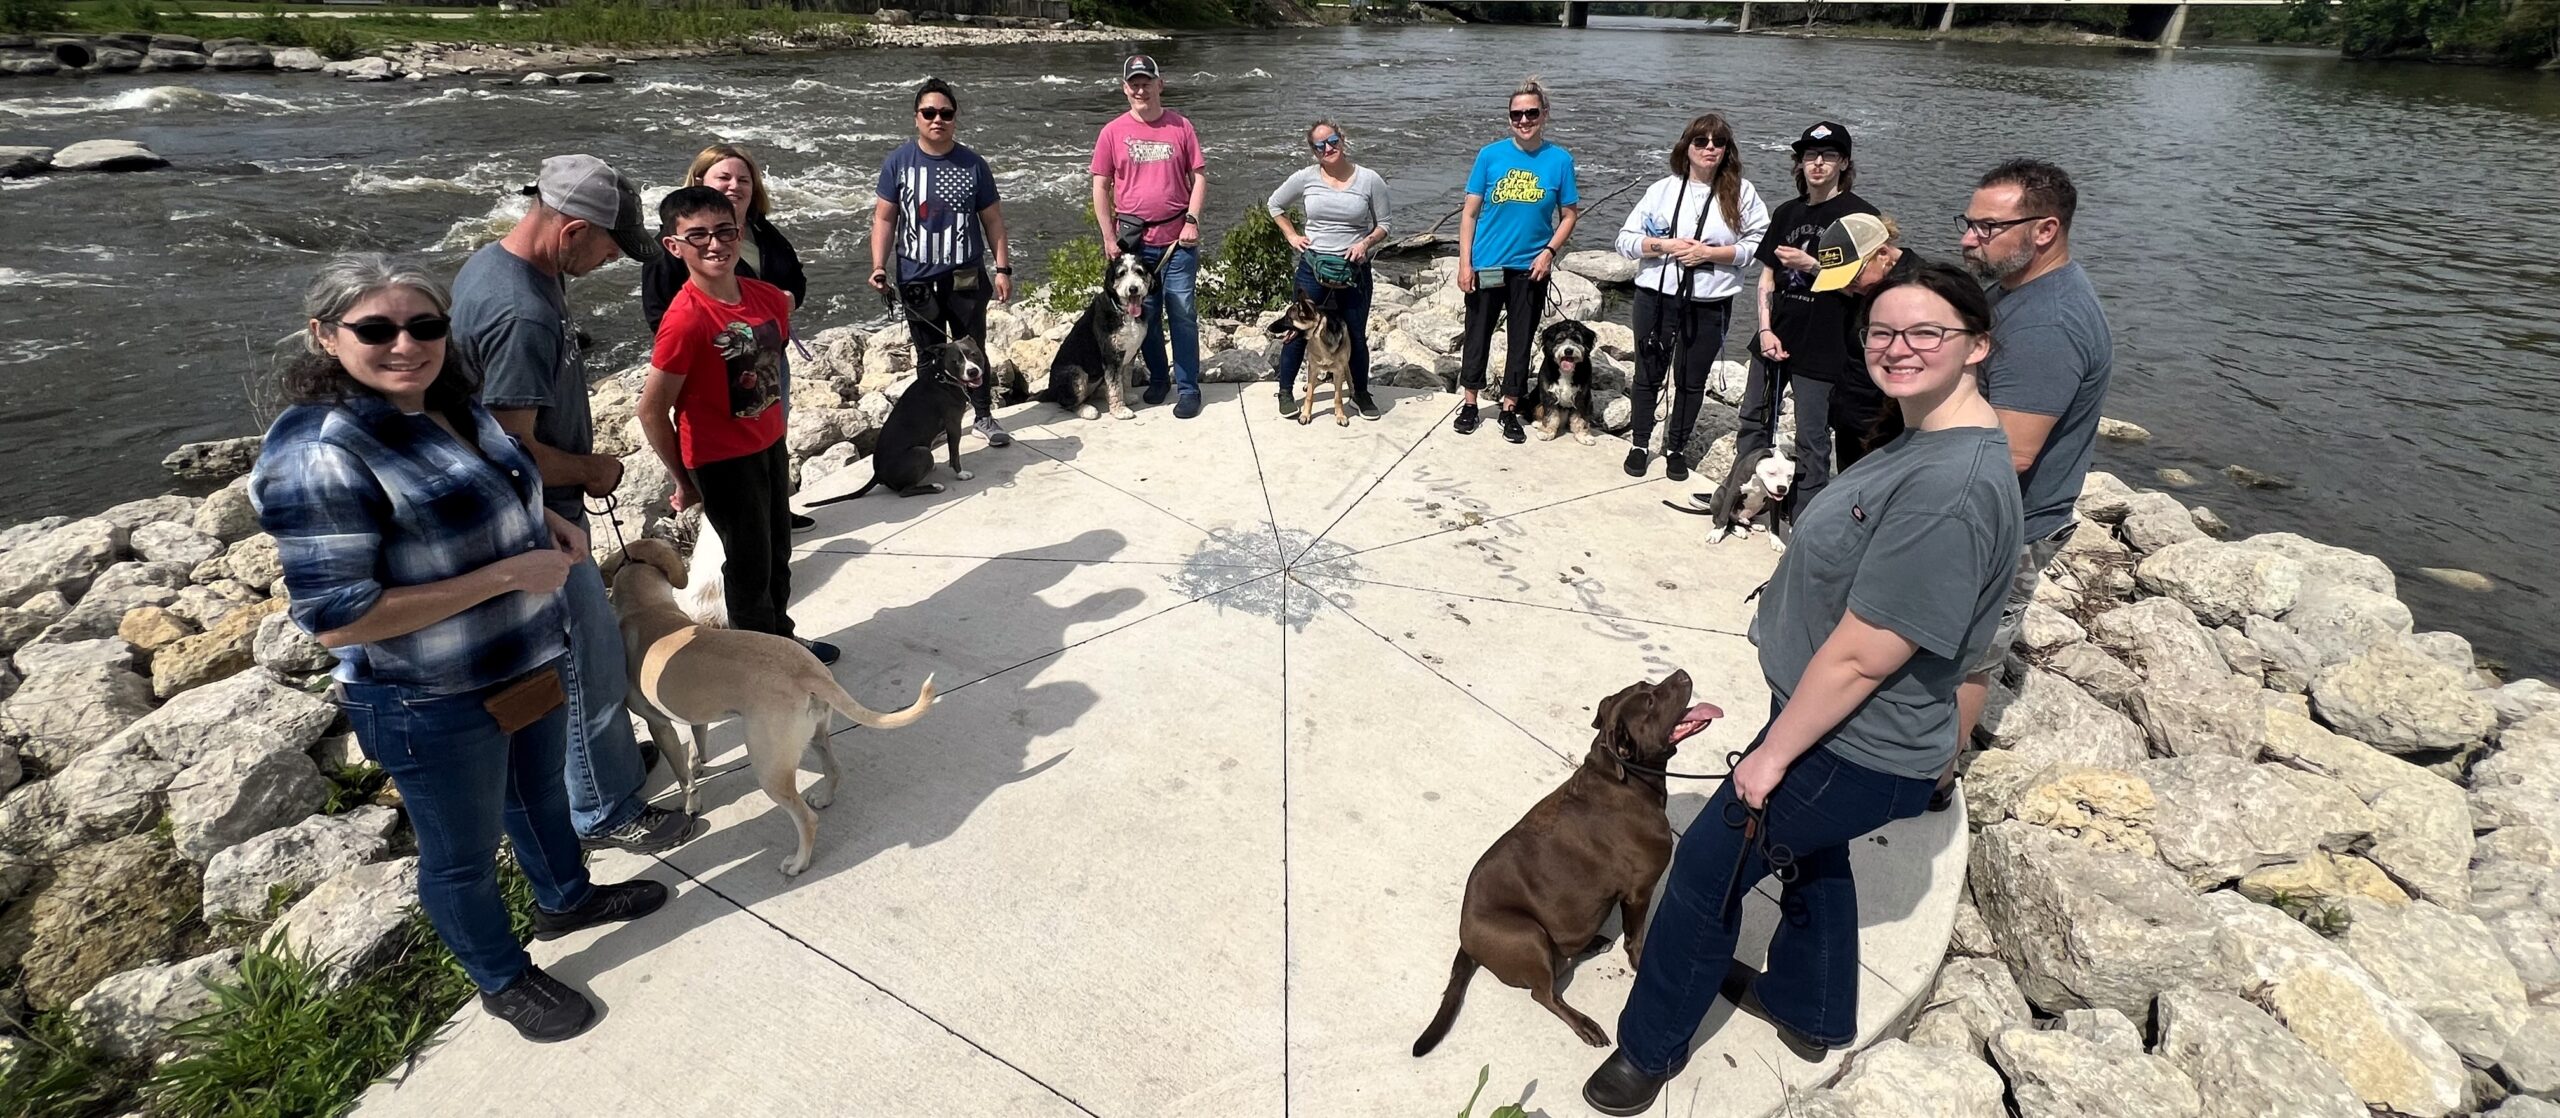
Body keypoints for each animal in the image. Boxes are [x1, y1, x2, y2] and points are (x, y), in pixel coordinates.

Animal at [611, 534, 942, 874]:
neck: (645, 607)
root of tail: (808, 671)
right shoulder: (695, 713)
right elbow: (697, 743)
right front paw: (698, 764)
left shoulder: (658, 725)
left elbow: (682, 776)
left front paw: (691, 804)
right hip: (816, 735)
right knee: (834, 769)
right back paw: (825, 798)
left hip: (768, 767)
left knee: (806, 819)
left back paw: (798, 863)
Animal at [808, 335, 988, 501]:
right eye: (955, 361)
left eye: (973, 354)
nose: (972, 371)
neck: (943, 378)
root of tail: (878, 474)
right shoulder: (953, 424)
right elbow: (954, 454)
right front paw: (961, 474)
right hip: (922, 453)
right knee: (904, 492)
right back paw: (934, 486)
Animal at [1039, 250, 1162, 419]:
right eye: (1121, 273)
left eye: (1139, 271)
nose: (1133, 289)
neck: (1123, 312)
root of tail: (1050, 391)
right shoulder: (1112, 355)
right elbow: (1115, 384)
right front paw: (1119, 410)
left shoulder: (1130, 354)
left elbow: (1124, 379)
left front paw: (1126, 397)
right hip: (1074, 373)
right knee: (1067, 403)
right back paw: (1086, 409)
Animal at [1413, 670, 1730, 1054]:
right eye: (1651, 701)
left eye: (1647, 685)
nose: (1682, 673)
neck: (1625, 777)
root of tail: (1465, 940)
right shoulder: (1639, 892)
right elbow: (1636, 939)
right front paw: (1639, 964)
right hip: (1526, 935)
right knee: (1544, 994)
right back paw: (1583, 1023)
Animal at [1658, 442, 1802, 550]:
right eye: (1771, 473)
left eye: (1790, 476)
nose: (1782, 488)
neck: (1758, 481)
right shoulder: (1733, 492)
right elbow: (1723, 517)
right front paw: (1716, 534)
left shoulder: (1775, 502)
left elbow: (1775, 523)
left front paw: (1776, 541)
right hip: (1720, 494)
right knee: (1720, 517)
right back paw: (1738, 529)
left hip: (1764, 506)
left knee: (1743, 518)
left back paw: (1752, 523)